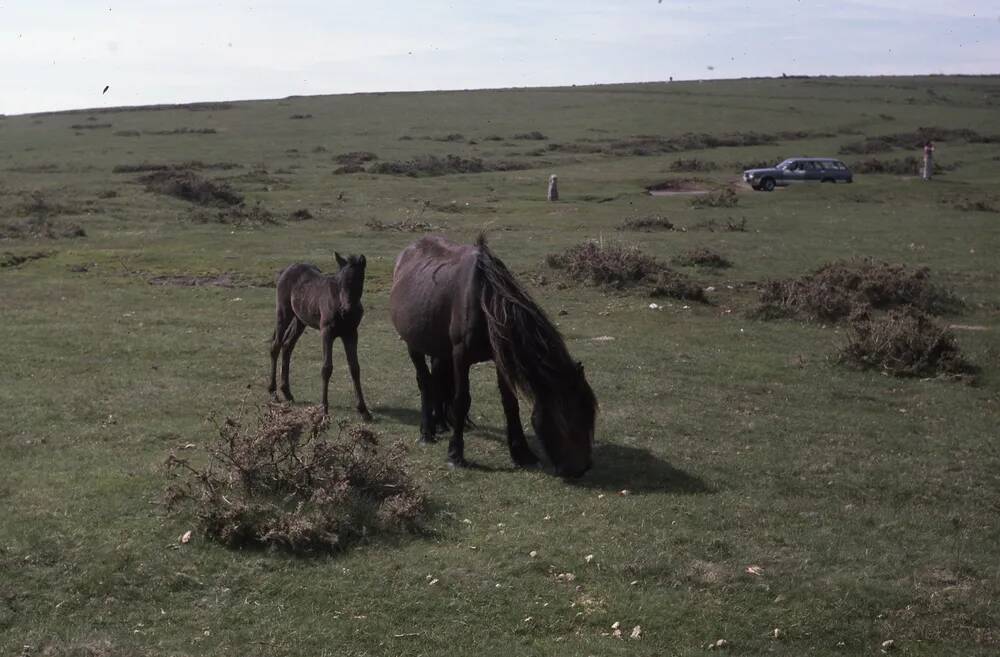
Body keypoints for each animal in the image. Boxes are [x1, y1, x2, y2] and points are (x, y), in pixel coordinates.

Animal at [268, 252, 374, 420]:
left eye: (358, 281)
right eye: (340, 282)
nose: (346, 311)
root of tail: (285, 270)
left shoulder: (351, 333)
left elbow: (355, 368)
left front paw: (364, 410)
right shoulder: (327, 332)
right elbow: (326, 368)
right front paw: (323, 408)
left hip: (300, 320)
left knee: (287, 345)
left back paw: (287, 392)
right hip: (283, 313)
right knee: (276, 346)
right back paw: (273, 392)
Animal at [388, 236, 592, 476]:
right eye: (569, 420)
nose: (582, 469)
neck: (486, 300)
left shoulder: (500, 358)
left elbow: (510, 403)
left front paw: (522, 453)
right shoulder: (461, 357)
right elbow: (461, 400)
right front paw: (455, 454)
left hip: (439, 350)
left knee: (437, 379)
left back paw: (440, 424)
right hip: (414, 345)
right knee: (425, 382)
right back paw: (427, 432)